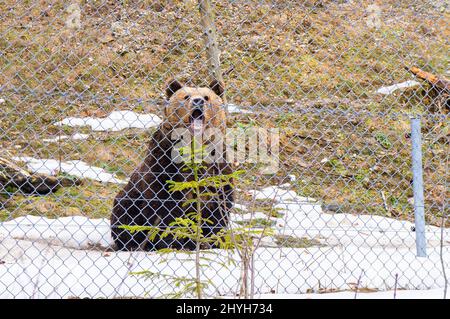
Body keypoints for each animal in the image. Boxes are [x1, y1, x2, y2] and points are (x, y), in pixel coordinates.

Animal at [110, 79, 234, 251]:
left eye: (206, 97)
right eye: (186, 96)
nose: (198, 101)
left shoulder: (217, 164)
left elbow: (218, 202)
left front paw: (214, 240)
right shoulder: (164, 161)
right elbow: (166, 204)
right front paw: (173, 242)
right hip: (131, 196)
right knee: (125, 211)